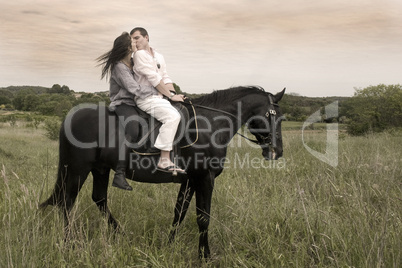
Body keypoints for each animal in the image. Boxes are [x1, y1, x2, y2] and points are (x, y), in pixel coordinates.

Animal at [40, 86, 286, 258]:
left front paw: (169, 245)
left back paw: (120, 234)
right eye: (273, 115)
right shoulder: (204, 179)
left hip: (99, 169)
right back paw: (70, 243)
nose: (277, 151)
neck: (209, 126)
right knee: (67, 202)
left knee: (99, 199)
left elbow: (179, 214)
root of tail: (71, 116)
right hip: (77, 170)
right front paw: (204, 256)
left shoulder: (189, 181)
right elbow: (203, 218)